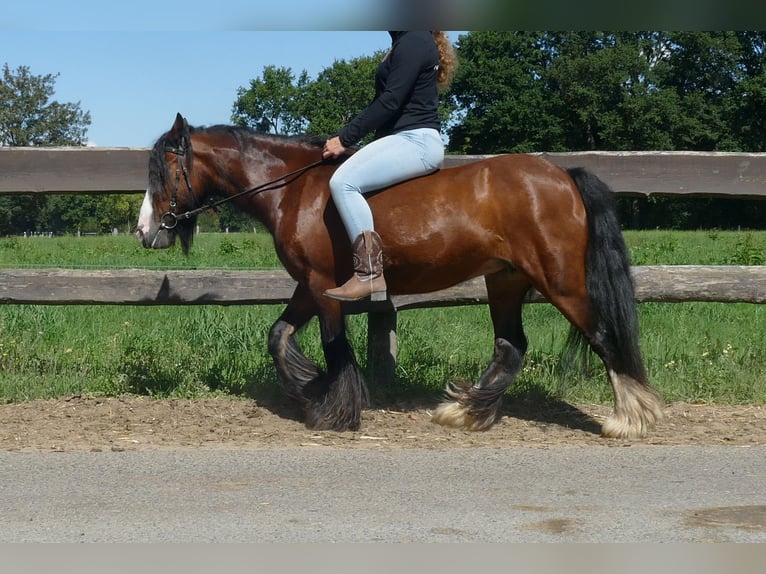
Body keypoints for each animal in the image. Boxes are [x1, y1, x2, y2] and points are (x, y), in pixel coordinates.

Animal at [136, 113, 664, 439]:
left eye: (163, 172)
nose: (145, 231)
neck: (294, 189)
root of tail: (564, 176)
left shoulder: (324, 285)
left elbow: (333, 345)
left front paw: (334, 411)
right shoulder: (309, 284)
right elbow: (279, 335)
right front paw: (307, 387)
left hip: (562, 282)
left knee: (602, 335)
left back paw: (629, 418)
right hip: (506, 280)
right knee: (511, 346)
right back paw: (464, 411)